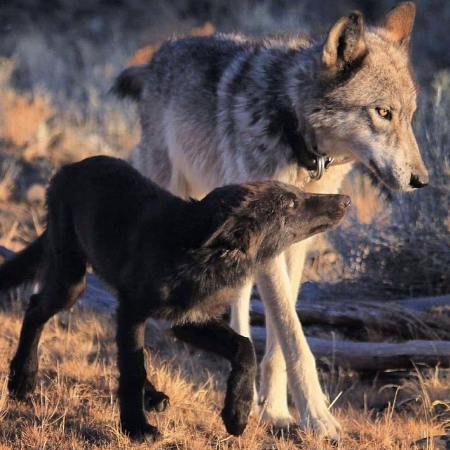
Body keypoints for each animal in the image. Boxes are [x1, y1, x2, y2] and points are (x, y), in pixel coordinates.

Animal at [0, 156, 352, 442]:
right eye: (289, 204)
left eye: (295, 195)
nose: (346, 199)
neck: (194, 253)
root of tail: (66, 170)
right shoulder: (133, 311)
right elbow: (132, 369)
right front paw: (136, 428)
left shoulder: (188, 321)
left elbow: (245, 347)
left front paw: (236, 414)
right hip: (70, 280)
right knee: (35, 307)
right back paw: (22, 379)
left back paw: (152, 396)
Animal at [113, 1, 428, 442]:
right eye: (383, 113)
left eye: (410, 117)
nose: (422, 180)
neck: (293, 132)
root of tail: (160, 54)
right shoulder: (270, 245)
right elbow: (296, 339)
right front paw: (318, 418)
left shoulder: (294, 243)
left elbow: (282, 335)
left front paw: (276, 410)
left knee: (240, 301)